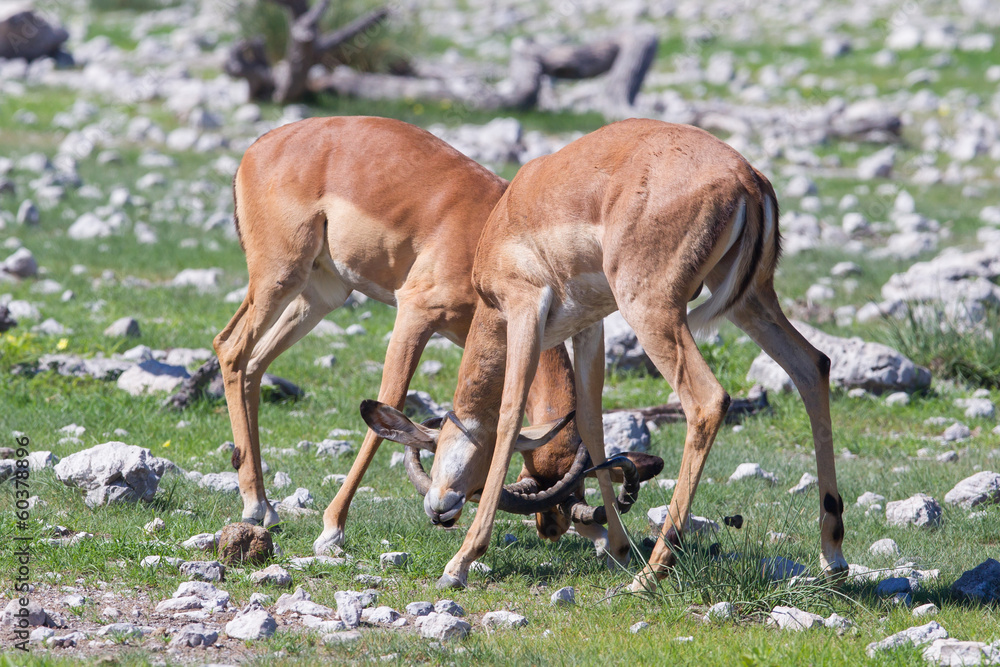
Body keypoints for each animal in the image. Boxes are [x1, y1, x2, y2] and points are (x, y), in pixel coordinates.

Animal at [212, 116, 661, 560]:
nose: (550, 528)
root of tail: (259, 147)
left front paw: (610, 542)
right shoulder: (415, 311)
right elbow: (390, 404)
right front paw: (332, 529)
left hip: (321, 295)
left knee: (254, 364)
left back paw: (265, 505)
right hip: (279, 276)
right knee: (230, 348)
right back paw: (254, 506)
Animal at [364, 118, 849, 590]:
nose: (440, 509)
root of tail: (747, 177)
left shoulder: (523, 310)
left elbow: (508, 415)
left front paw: (461, 562)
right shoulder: (588, 325)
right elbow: (591, 422)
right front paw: (617, 548)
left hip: (652, 310)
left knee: (708, 400)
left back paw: (651, 573)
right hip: (750, 301)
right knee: (812, 365)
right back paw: (833, 556)